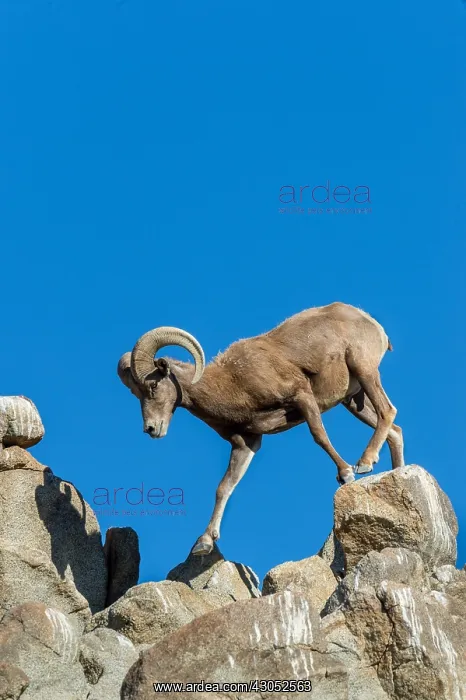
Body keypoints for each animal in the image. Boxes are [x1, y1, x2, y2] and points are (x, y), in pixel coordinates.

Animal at [117, 302, 404, 555]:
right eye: (135, 393)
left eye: (153, 386)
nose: (151, 428)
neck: (232, 383)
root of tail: (371, 322)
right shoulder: (246, 444)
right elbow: (224, 487)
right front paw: (204, 543)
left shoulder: (301, 396)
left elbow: (319, 436)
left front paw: (345, 474)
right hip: (352, 401)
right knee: (394, 430)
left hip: (363, 370)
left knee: (387, 412)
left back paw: (364, 463)